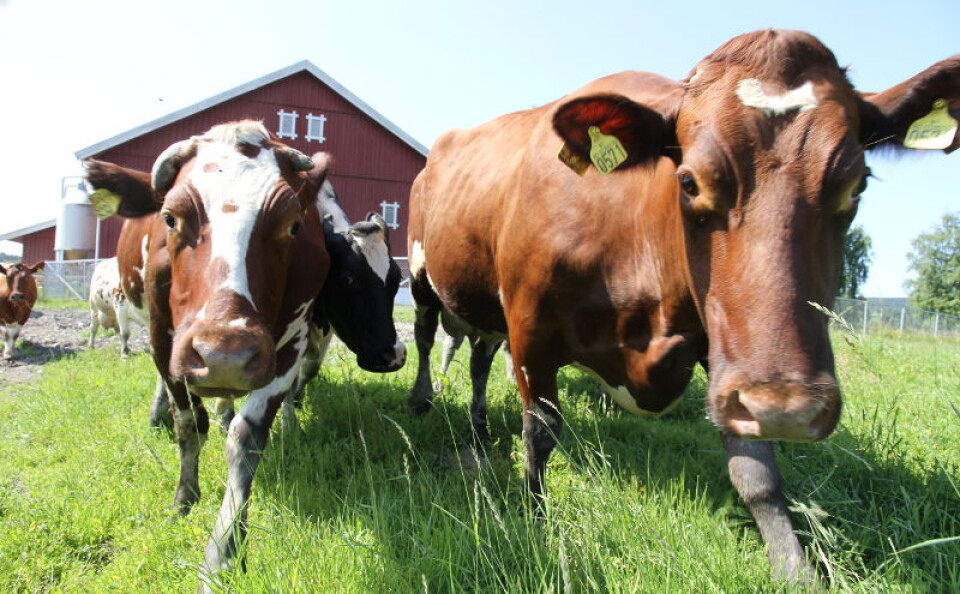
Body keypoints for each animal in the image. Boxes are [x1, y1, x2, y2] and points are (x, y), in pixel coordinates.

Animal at [87, 119, 334, 588]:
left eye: (293, 225)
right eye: (170, 217)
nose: (224, 355)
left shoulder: (289, 342)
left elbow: (246, 439)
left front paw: (225, 549)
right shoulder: (164, 341)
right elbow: (189, 425)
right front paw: (184, 498)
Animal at [406, 30, 960, 580]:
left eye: (856, 186)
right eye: (690, 182)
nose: (788, 409)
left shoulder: (728, 354)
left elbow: (756, 468)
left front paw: (793, 565)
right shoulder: (529, 332)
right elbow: (539, 435)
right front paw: (537, 522)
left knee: (478, 359)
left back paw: (478, 428)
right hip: (422, 275)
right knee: (427, 334)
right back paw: (421, 400)